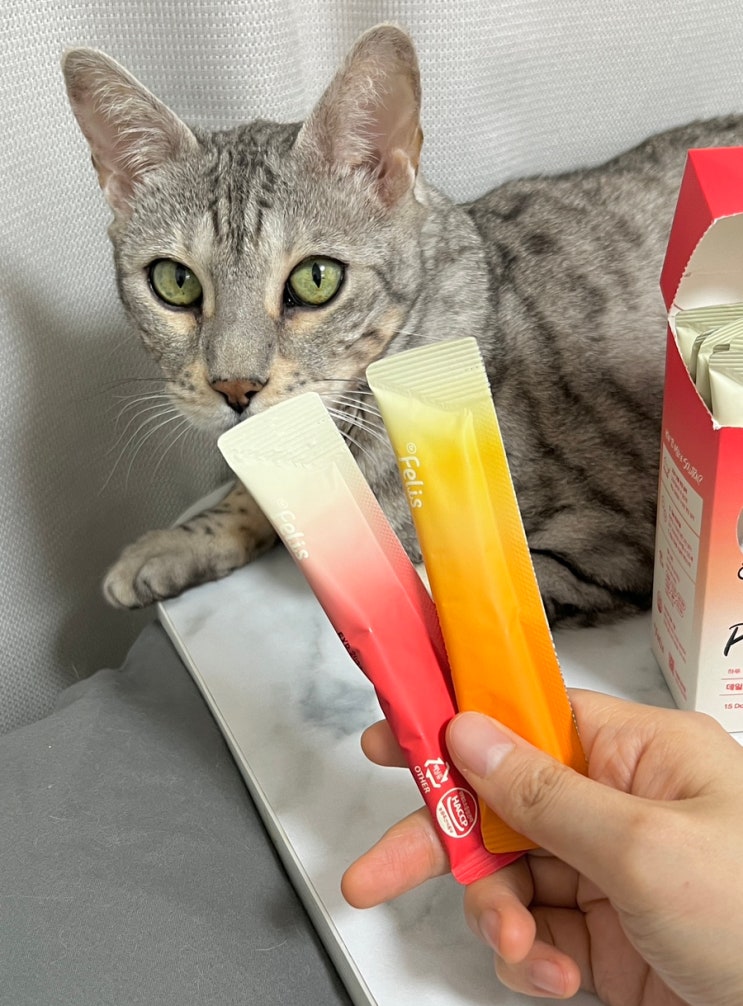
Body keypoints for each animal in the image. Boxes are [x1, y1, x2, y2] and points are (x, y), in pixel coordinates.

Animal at [62, 24, 743, 624]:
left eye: (316, 278)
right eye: (175, 283)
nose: (234, 387)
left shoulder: (607, 546)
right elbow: (255, 493)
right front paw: (171, 545)